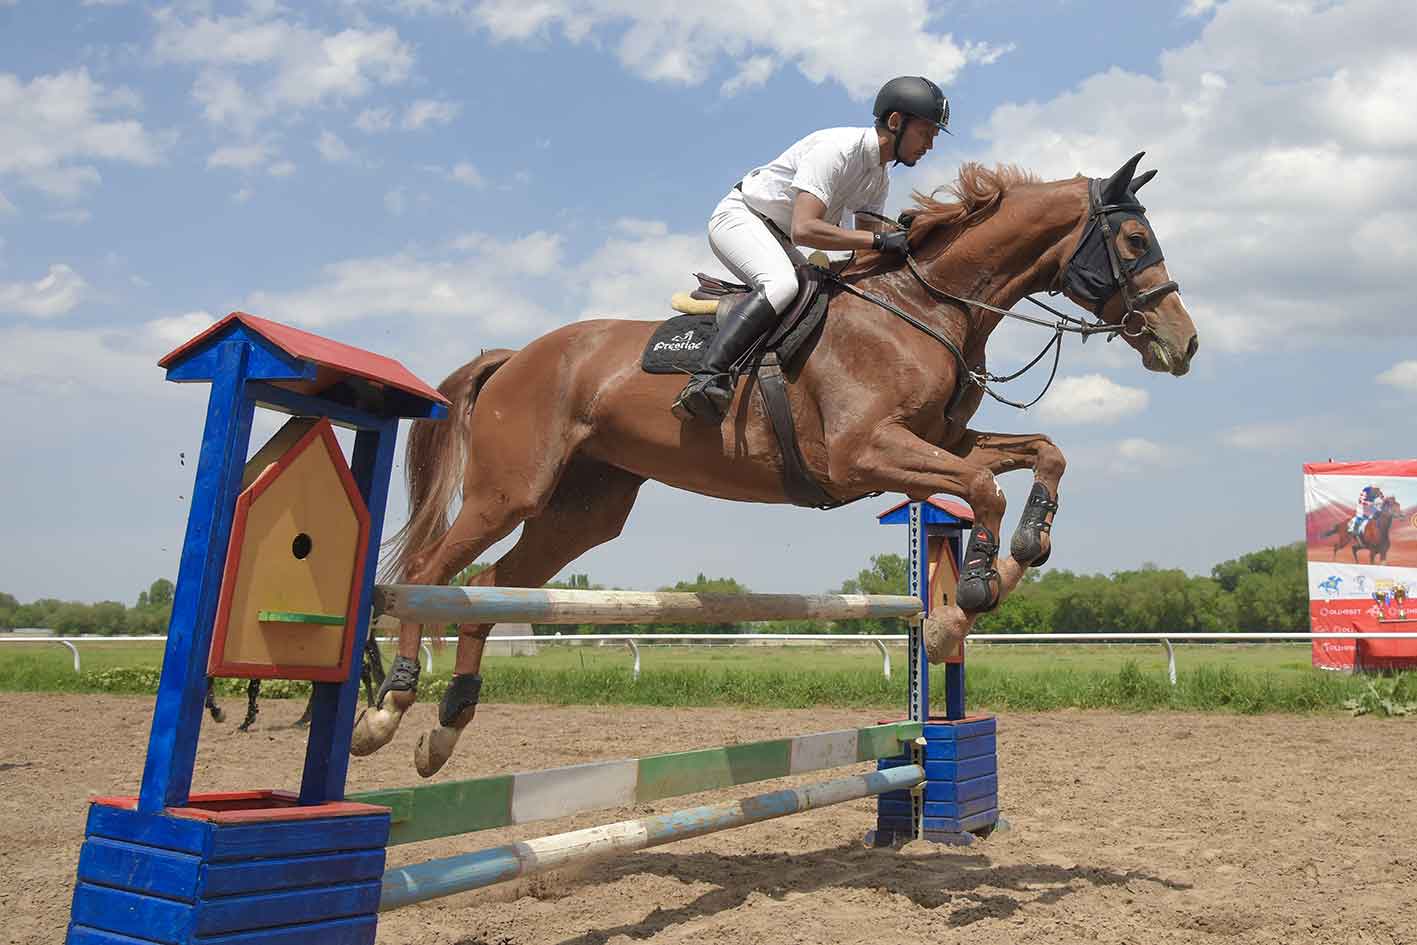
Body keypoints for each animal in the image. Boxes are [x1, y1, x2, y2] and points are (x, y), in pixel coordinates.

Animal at [350, 153, 1199, 777]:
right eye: (1133, 242)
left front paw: (1019, 554)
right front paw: (967, 599)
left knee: (490, 585)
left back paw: (446, 727)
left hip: (582, 512)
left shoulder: (937, 444)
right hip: (508, 490)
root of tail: (515, 355)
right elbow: (983, 488)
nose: (1183, 341)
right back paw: (386, 710)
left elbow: (1042, 454)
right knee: (430, 571)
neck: (923, 305)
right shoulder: (867, 454)